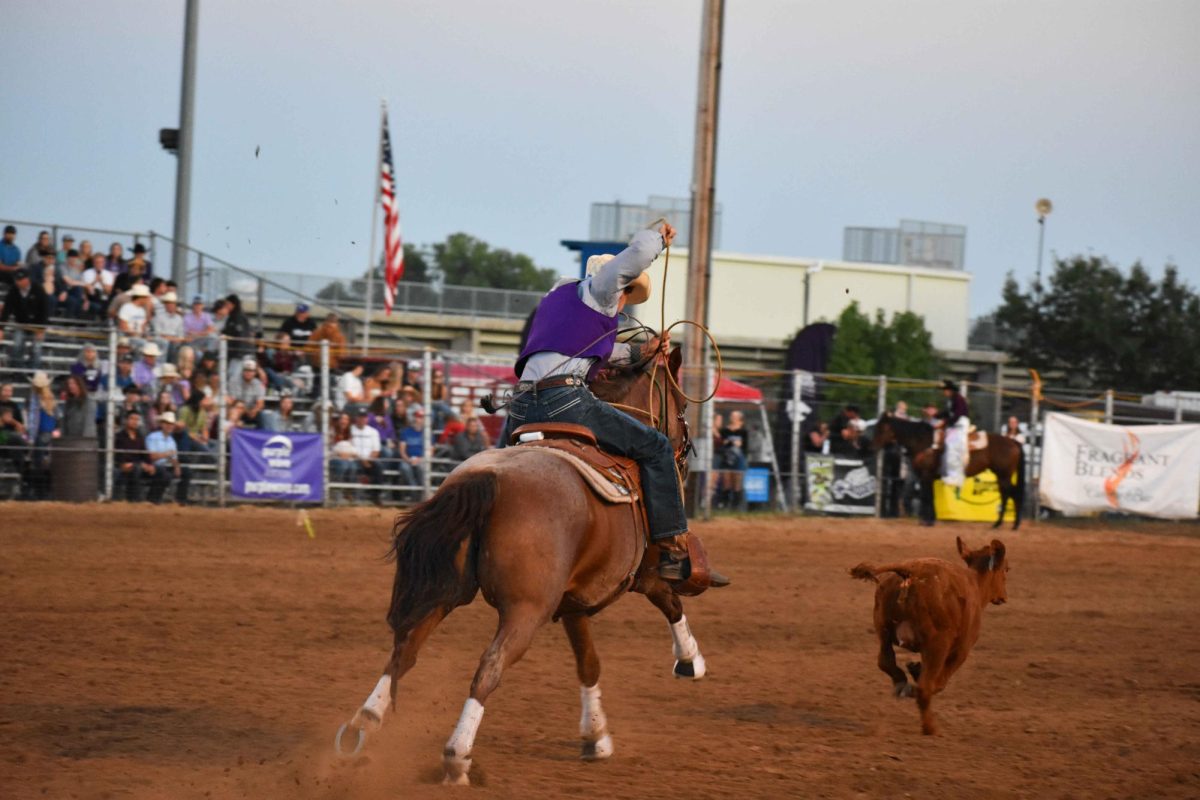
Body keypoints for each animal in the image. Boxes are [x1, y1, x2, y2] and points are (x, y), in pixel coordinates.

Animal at [849, 534, 1008, 734]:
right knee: (925, 687)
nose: (1004, 596)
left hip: (883, 630)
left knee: (885, 661)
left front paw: (914, 669)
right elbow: (939, 681)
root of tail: (912, 570)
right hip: (937, 644)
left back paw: (902, 684)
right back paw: (929, 726)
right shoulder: (960, 651)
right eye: (1006, 569)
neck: (975, 585)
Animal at [868, 412, 1027, 532]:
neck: (924, 442)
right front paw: (928, 520)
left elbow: (927, 497)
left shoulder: (926, 475)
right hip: (1001, 476)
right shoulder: (927, 477)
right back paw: (1003, 524)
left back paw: (1010, 524)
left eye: (881, 429)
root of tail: (1013, 442)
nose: (872, 447)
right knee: (1007, 494)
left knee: (1012, 494)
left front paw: (928, 521)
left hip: (1004, 475)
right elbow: (929, 496)